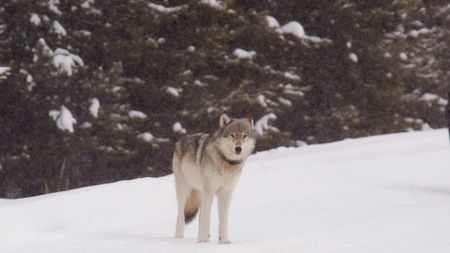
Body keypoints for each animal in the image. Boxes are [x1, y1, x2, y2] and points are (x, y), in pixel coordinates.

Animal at [172, 113, 256, 243]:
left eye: (244, 136)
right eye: (232, 135)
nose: (238, 148)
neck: (226, 161)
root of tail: (181, 140)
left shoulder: (226, 193)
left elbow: (223, 220)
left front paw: (224, 241)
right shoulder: (210, 191)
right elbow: (207, 218)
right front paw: (204, 241)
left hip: (201, 193)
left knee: (200, 216)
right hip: (184, 191)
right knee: (180, 214)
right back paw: (179, 238)